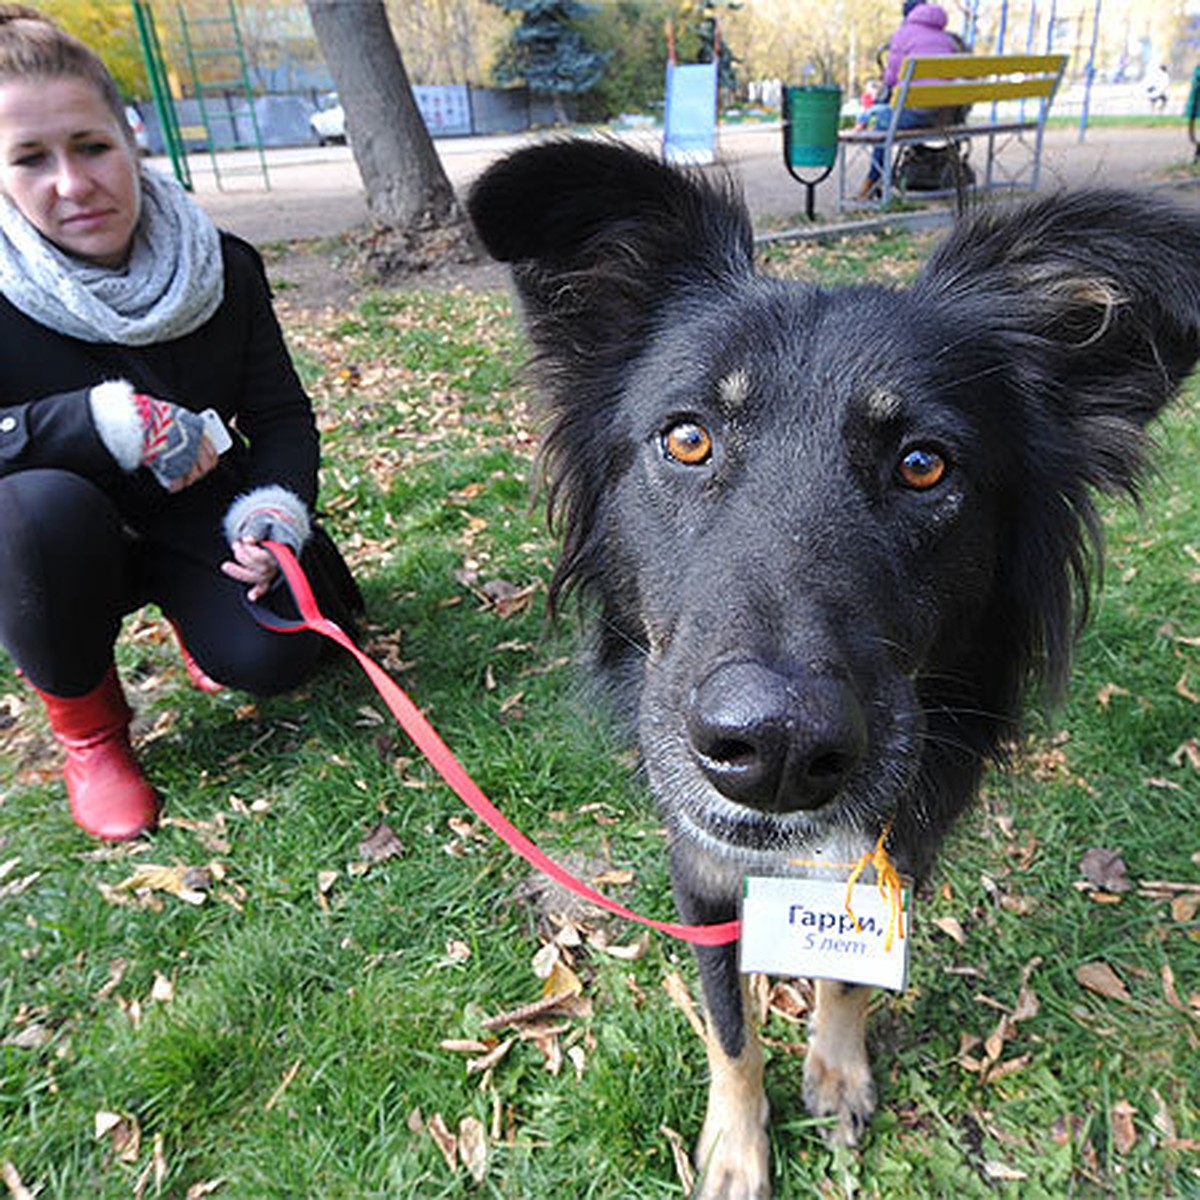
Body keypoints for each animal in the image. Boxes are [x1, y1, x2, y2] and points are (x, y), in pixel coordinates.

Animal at [465, 147, 1200, 1200]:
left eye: (925, 464)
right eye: (687, 437)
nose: (774, 748)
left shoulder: (906, 843)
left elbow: (849, 976)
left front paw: (838, 1073)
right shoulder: (700, 869)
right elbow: (729, 1027)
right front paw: (737, 1148)